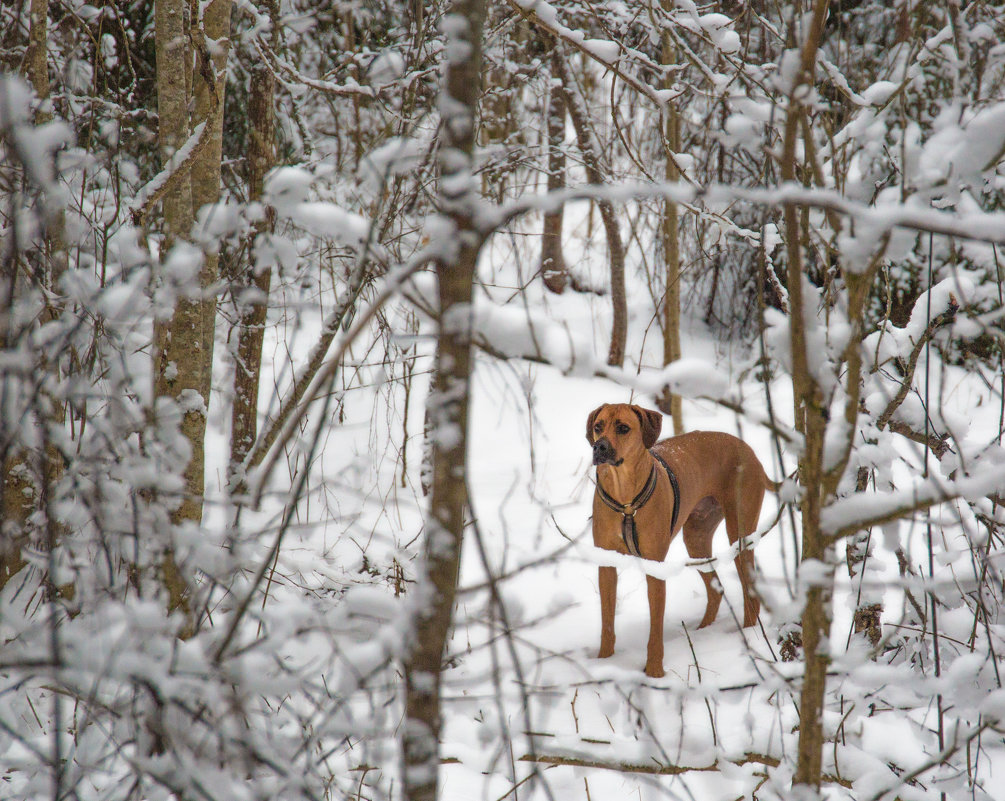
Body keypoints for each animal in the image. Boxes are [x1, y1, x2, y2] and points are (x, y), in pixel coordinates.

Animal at [586, 399, 775, 675]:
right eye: (598, 426)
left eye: (623, 428)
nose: (598, 447)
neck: (625, 500)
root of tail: (749, 450)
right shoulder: (606, 564)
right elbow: (606, 623)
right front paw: (604, 663)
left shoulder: (655, 568)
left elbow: (655, 629)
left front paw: (654, 672)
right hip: (696, 538)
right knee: (715, 590)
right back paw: (703, 631)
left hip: (739, 535)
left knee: (749, 592)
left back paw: (750, 636)